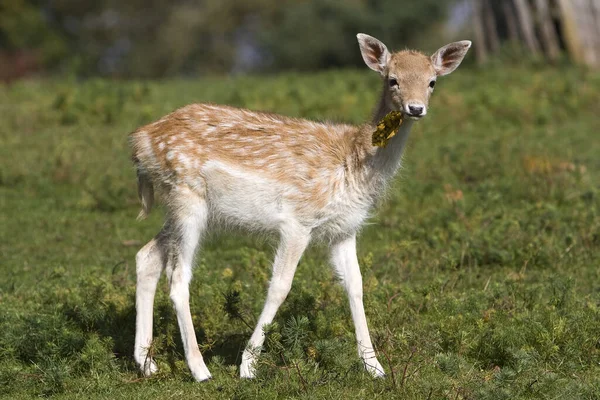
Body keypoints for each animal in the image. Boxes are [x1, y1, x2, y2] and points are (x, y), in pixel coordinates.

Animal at [131, 32, 474, 380]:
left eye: (432, 82)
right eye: (393, 79)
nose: (415, 107)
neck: (355, 165)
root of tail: (139, 142)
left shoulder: (344, 229)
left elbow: (356, 286)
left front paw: (374, 367)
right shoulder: (298, 221)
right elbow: (280, 287)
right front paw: (248, 367)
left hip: (180, 206)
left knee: (146, 256)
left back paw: (147, 363)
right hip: (188, 199)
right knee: (178, 278)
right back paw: (200, 369)